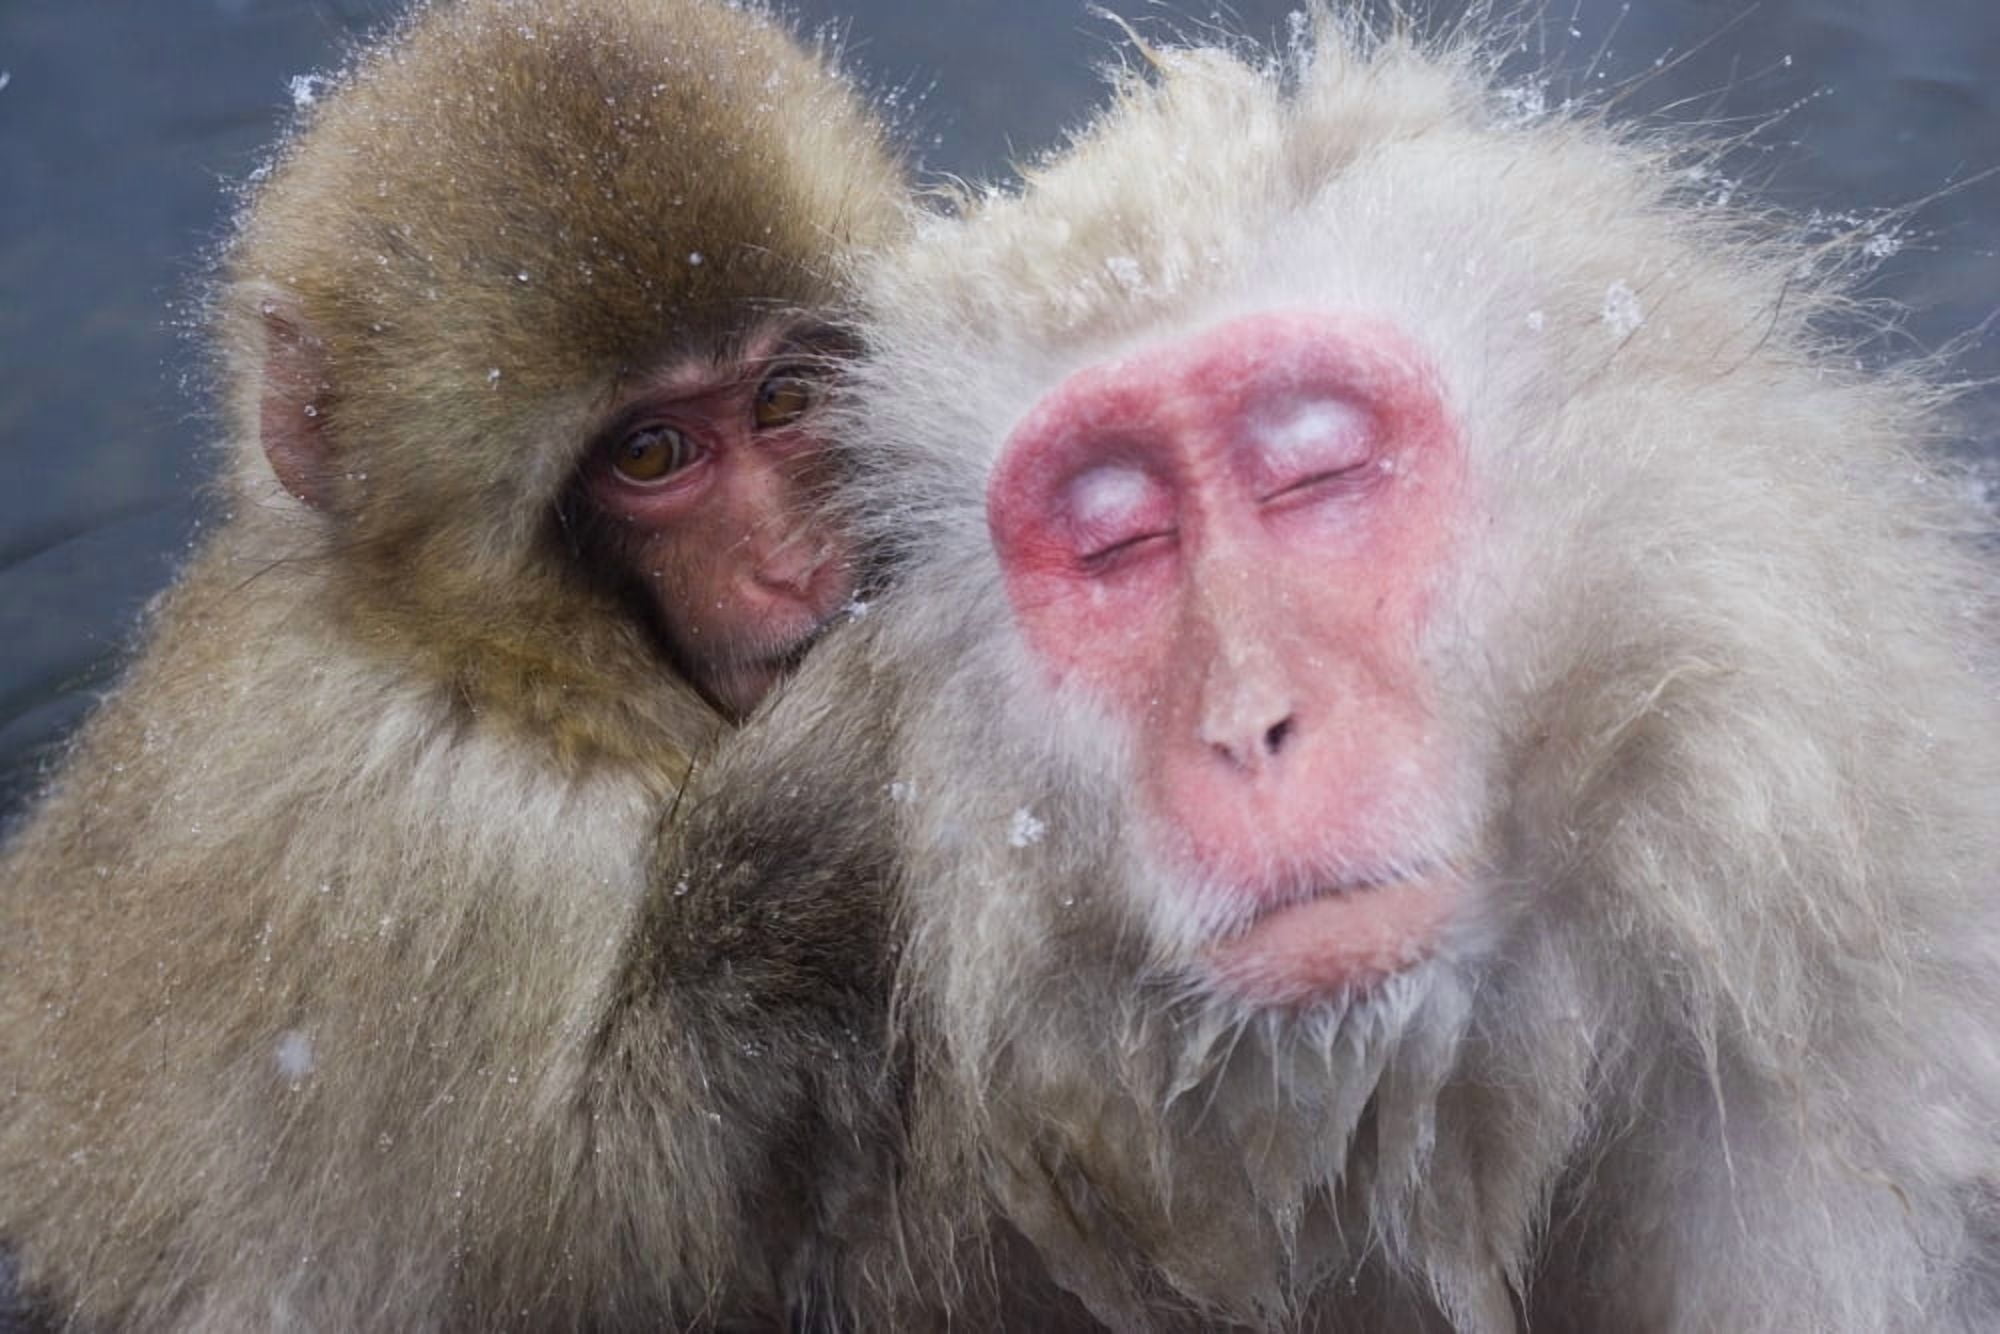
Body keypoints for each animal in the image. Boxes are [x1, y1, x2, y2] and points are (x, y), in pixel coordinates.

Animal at [0, 0, 911, 1326]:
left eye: (783, 396)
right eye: (650, 453)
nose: (795, 563)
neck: (478, 655)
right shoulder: (452, 857)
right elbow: (566, 1253)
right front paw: (818, 808)